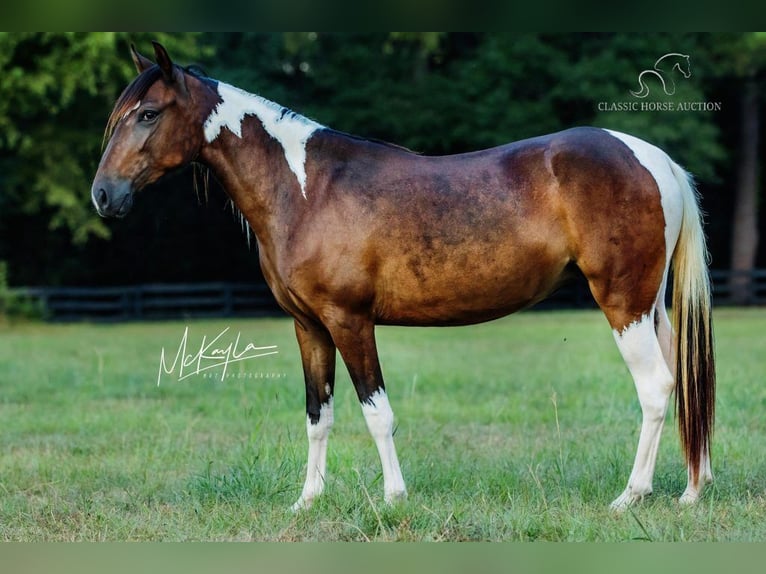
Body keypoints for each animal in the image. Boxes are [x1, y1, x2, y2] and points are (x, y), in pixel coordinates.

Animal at [93, 45, 716, 512]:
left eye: (148, 114)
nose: (103, 195)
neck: (305, 189)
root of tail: (652, 157)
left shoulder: (350, 321)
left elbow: (377, 412)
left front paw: (394, 498)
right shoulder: (308, 327)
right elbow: (318, 416)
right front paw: (308, 501)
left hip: (623, 304)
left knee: (656, 387)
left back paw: (631, 496)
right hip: (650, 307)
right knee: (684, 381)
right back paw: (690, 490)